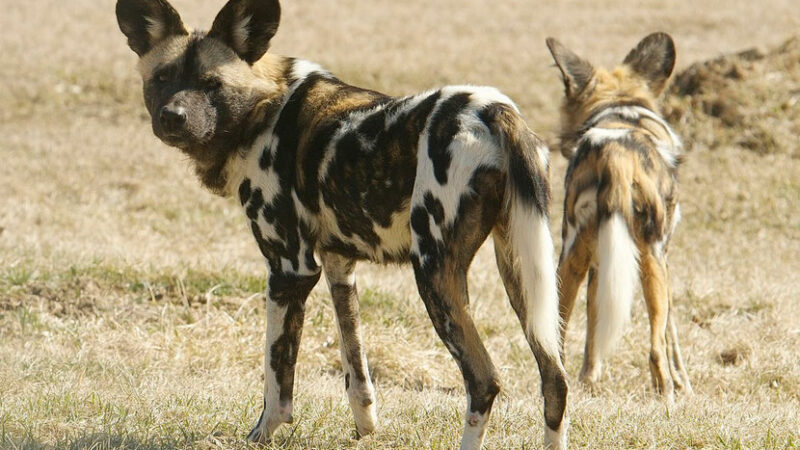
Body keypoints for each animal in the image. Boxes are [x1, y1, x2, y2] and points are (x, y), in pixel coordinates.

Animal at [117, 0, 568, 448]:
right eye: (162, 78)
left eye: (212, 84)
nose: (173, 117)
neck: (264, 109)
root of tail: (493, 109)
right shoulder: (338, 266)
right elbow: (357, 370)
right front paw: (365, 429)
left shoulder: (290, 270)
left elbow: (276, 379)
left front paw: (261, 433)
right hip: (523, 275)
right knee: (555, 380)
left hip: (434, 273)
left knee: (484, 380)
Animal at [548, 34, 692, 400]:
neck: (620, 108)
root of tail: (614, 153)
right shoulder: (664, 257)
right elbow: (671, 334)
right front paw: (684, 383)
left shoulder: (600, 264)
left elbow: (593, 327)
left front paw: (589, 378)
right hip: (651, 259)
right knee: (655, 347)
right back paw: (667, 396)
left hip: (569, 259)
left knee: (555, 337)